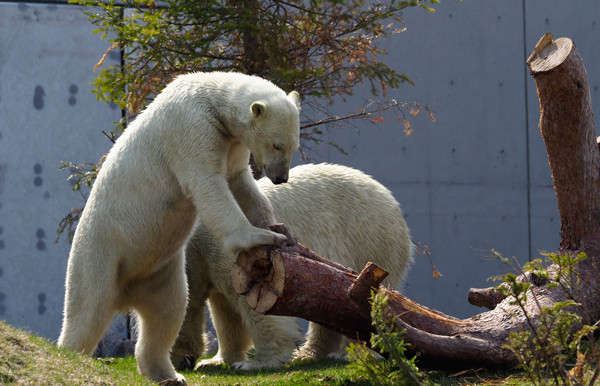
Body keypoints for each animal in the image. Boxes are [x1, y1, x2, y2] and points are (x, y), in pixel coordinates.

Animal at [57, 71, 300, 382]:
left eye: (293, 146)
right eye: (276, 144)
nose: (281, 177)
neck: (212, 99)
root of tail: (125, 294)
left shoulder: (232, 143)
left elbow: (240, 182)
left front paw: (281, 230)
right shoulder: (191, 129)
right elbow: (208, 183)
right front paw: (258, 237)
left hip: (161, 272)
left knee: (168, 310)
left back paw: (167, 374)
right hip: (100, 254)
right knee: (88, 310)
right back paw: (71, 353)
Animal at [172, 163, 418, 370]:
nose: (181, 363)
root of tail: (389, 196)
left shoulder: (239, 257)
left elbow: (256, 305)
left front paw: (255, 364)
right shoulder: (211, 264)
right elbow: (225, 313)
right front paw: (215, 361)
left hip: (368, 243)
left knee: (363, 304)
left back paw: (351, 353)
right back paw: (310, 353)